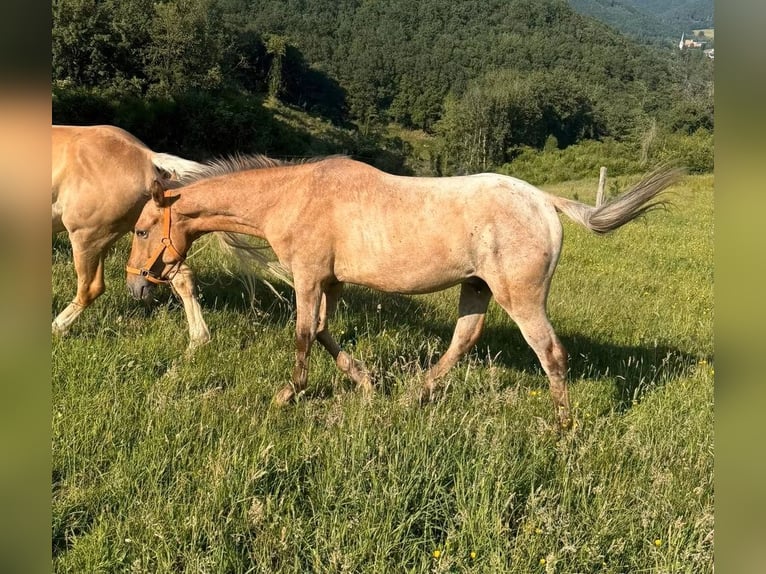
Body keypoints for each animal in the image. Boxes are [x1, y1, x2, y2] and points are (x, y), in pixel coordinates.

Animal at [52, 124, 214, 348]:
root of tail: (146, 156)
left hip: (86, 238)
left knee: (91, 287)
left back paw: (58, 327)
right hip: (154, 237)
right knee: (183, 277)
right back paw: (198, 339)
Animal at [124, 154, 681, 428]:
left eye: (142, 229)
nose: (136, 287)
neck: (296, 195)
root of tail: (545, 201)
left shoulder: (308, 278)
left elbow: (303, 335)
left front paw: (287, 395)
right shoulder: (331, 282)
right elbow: (324, 332)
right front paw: (368, 383)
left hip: (520, 299)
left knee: (551, 354)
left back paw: (563, 430)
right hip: (476, 288)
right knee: (464, 339)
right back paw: (414, 395)